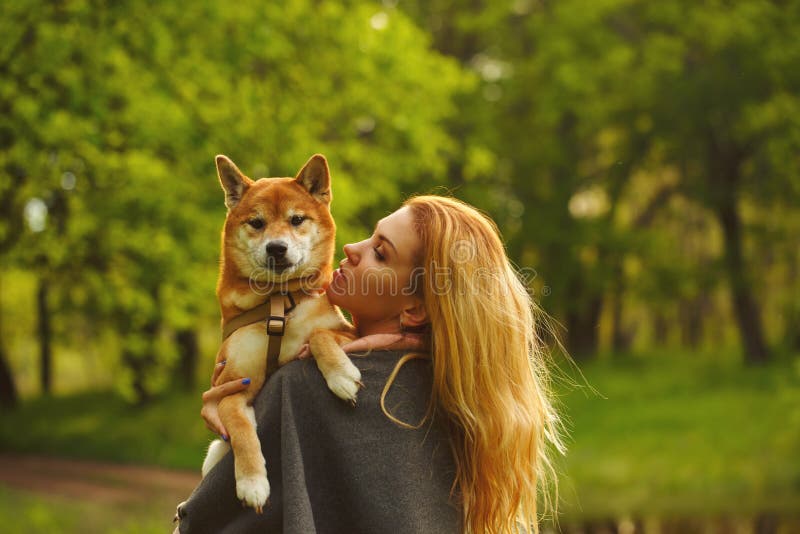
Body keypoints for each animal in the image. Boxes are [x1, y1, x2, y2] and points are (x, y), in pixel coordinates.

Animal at [200, 155, 360, 516]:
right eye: (257, 223)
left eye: (296, 219)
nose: (276, 248)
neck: (278, 302)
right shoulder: (232, 385)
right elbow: (241, 430)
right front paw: (252, 483)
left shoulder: (350, 334)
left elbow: (319, 336)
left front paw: (341, 376)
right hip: (213, 451)